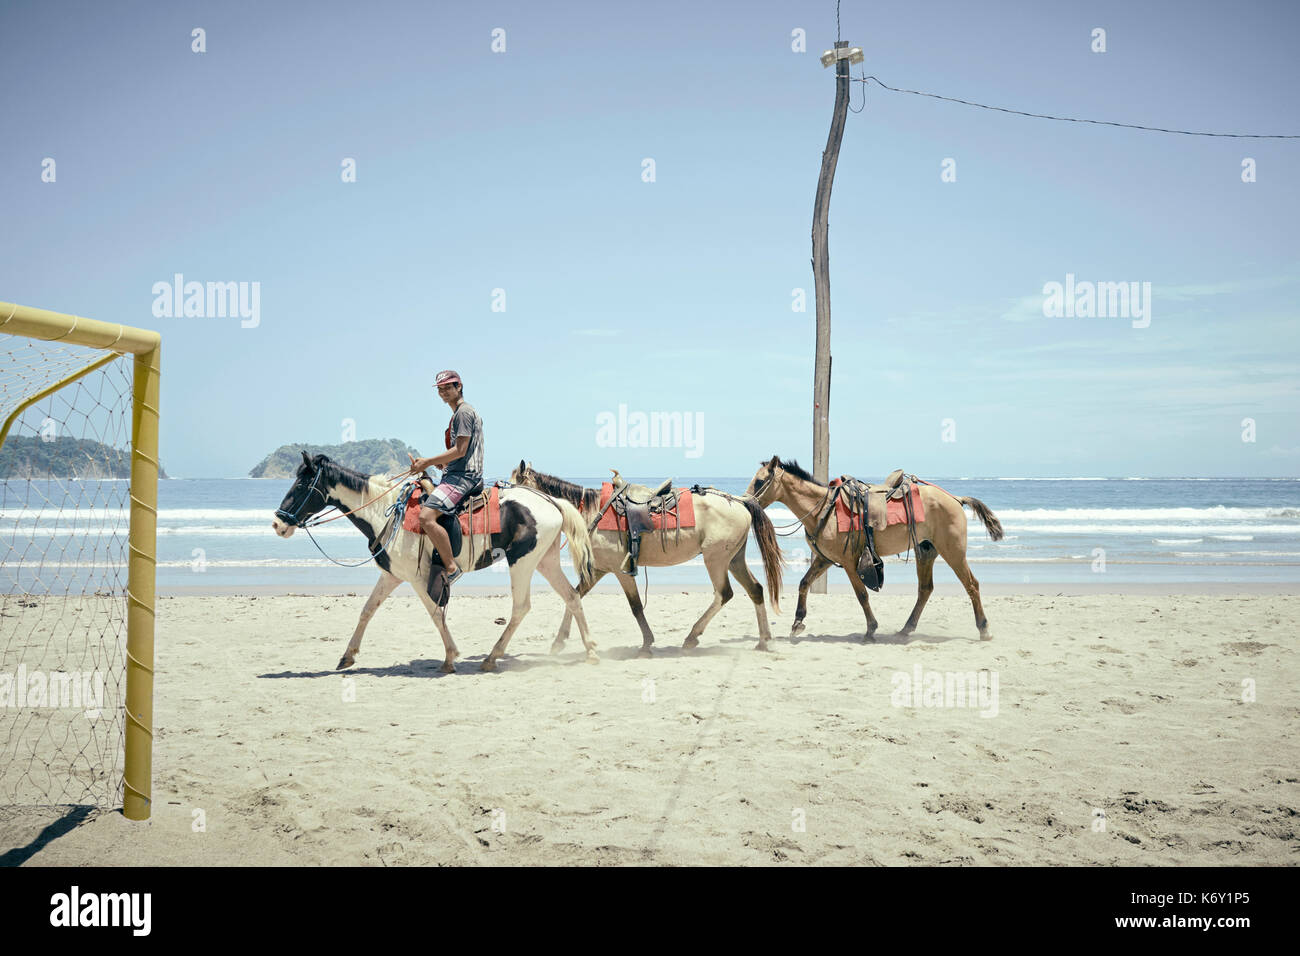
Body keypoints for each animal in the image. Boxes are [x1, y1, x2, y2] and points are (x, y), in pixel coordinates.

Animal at [276, 455, 600, 671]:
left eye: (302, 483)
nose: (278, 524)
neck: (385, 512)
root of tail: (552, 502)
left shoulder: (418, 578)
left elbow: (435, 613)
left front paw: (450, 657)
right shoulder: (393, 575)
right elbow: (368, 610)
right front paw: (348, 655)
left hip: (522, 562)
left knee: (521, 607)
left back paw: (492, 657)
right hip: (545, 561)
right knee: (572, 596)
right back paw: (590, 651)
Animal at [512, 463, 785, 658]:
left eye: (515, 487)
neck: (592, 510)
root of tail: (740, 502)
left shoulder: (620, 571)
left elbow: (635, 606)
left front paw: (646, 643)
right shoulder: (600, 569)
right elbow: (575, 597)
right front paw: (559, 642)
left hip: (716, 559)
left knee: (724, 593)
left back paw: (692, 636)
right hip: (734, 559)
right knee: (755, 590)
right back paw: (763, 640)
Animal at [743, 457, 1003, 642]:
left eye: (759, 481)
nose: (746, 501)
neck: (824, 510)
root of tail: (956, 499)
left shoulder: (849, 562)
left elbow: (862, 594)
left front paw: (871, 629)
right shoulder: (823, 559)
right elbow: (804, 583)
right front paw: (797, 622)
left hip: (953, 551)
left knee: (971, 585)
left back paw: (984, 629)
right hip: (926, 552)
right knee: (925, 590)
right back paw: (905, 629)